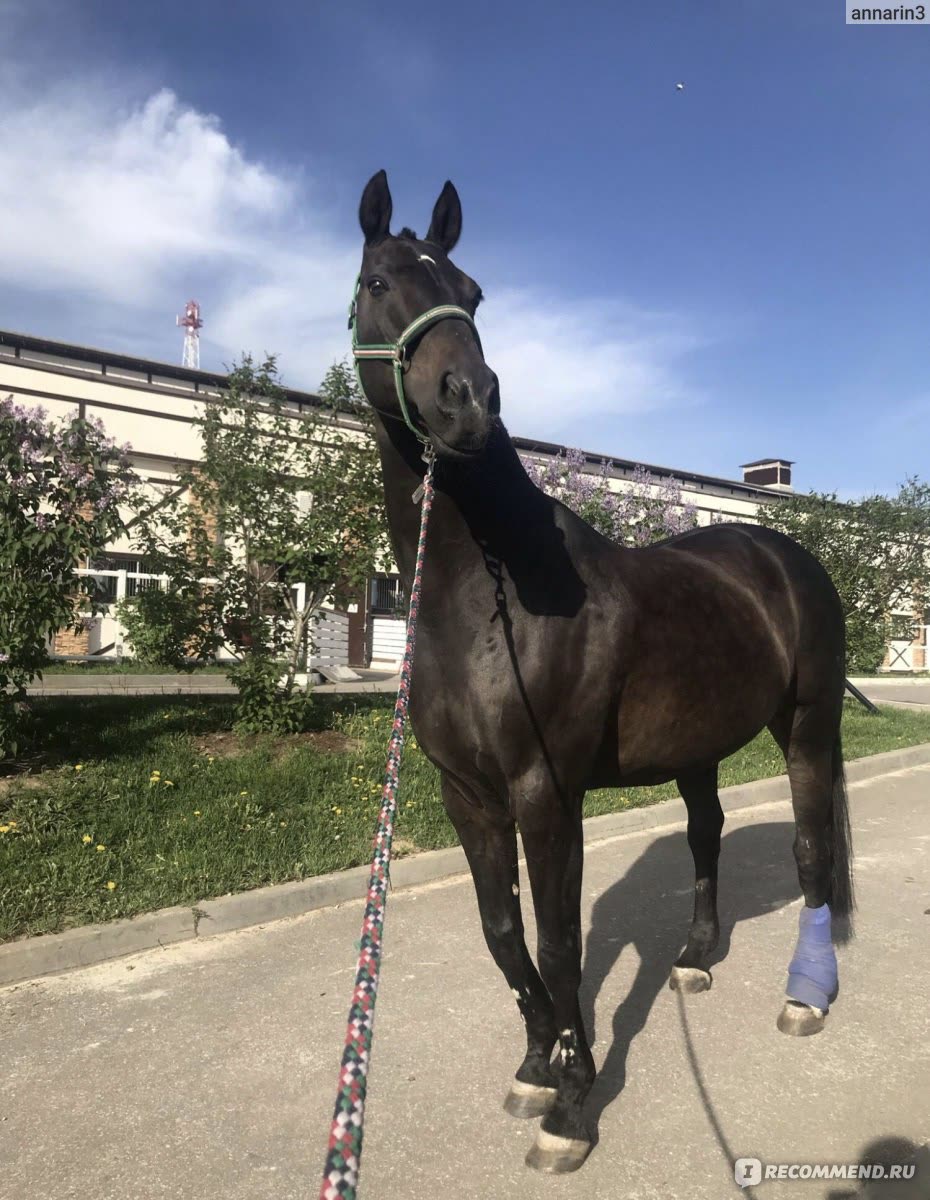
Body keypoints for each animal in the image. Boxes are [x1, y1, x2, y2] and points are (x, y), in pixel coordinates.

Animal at [350, 170, 854, 1174]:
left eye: (473, 296)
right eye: (380, 281)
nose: (468, 400)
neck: (495, 590)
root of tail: (785, 554)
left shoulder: (547, 793)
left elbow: (559, 943)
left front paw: (573, 1107)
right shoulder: (467, 793)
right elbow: (503, 934)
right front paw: (534, 1066)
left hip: (809, 724)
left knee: (812, 849)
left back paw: (805, 995)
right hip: (700, 746)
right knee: (705, 835)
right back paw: (694, 960)